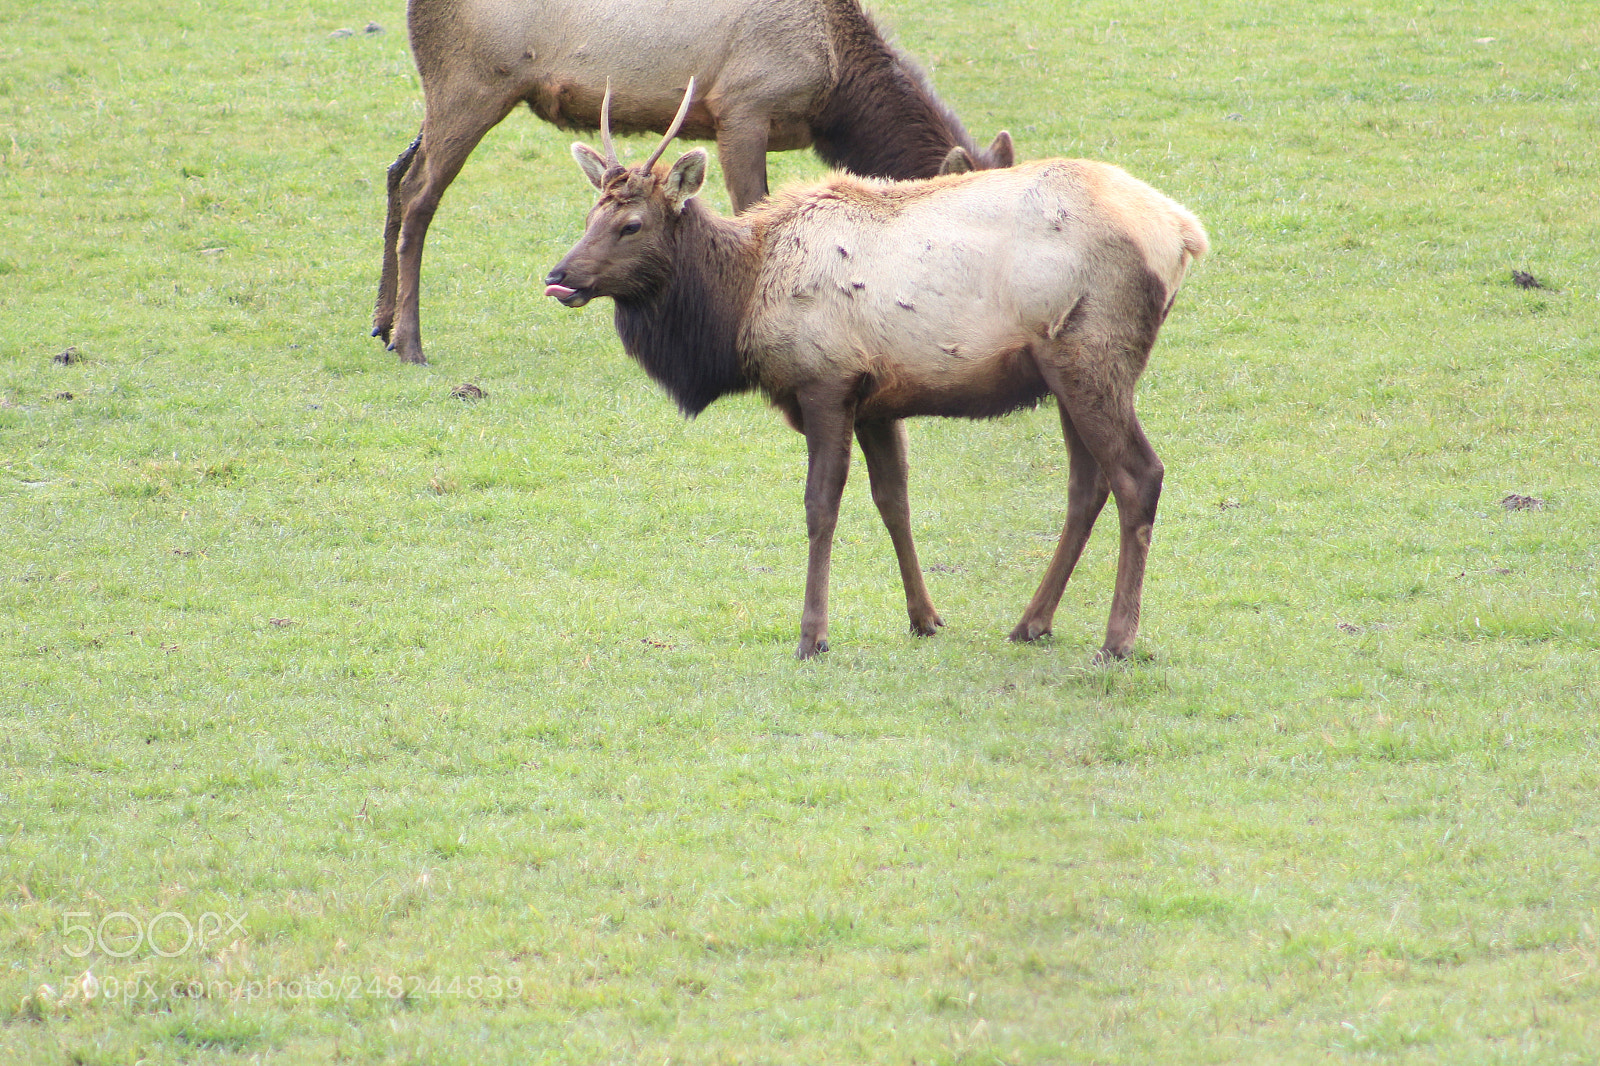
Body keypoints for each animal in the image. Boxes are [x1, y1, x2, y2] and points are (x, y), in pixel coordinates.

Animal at [372, 0, 1014, 365]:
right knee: (421, 197)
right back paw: (412, 342)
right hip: (471, 83)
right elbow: (754, 208)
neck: (835, 87)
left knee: (398, 173)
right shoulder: (744, 107)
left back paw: (382, 324)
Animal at [543, 82, 1208, 662]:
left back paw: (1117, 640)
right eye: (590, 215)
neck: (741, 303)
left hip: (1091, 356)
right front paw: (925, 617)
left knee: (1138, 475)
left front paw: (812, 636)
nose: (559, 275)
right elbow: (894, 500)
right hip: (1064, 374)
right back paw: (1032, 622)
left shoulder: (826, 380)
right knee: (1087, 485)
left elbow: (821, 506)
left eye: (631, 224)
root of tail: (1184, 233)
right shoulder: (877, 401)